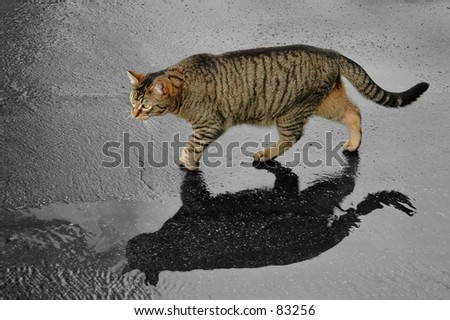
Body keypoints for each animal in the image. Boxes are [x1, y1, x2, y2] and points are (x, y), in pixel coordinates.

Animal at [126, 45, 428, 171]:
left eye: (145, 106)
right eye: (132, 103)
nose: (133, 115)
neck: (186, 87)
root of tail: (331, 53)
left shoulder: (210, 124)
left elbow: (193, 144)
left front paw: (188, 162)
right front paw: (187, 159)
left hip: (292, 111)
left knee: (293, 137)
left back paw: (265, 154)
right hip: (326, 102)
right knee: (354, 113)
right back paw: (354, 144)